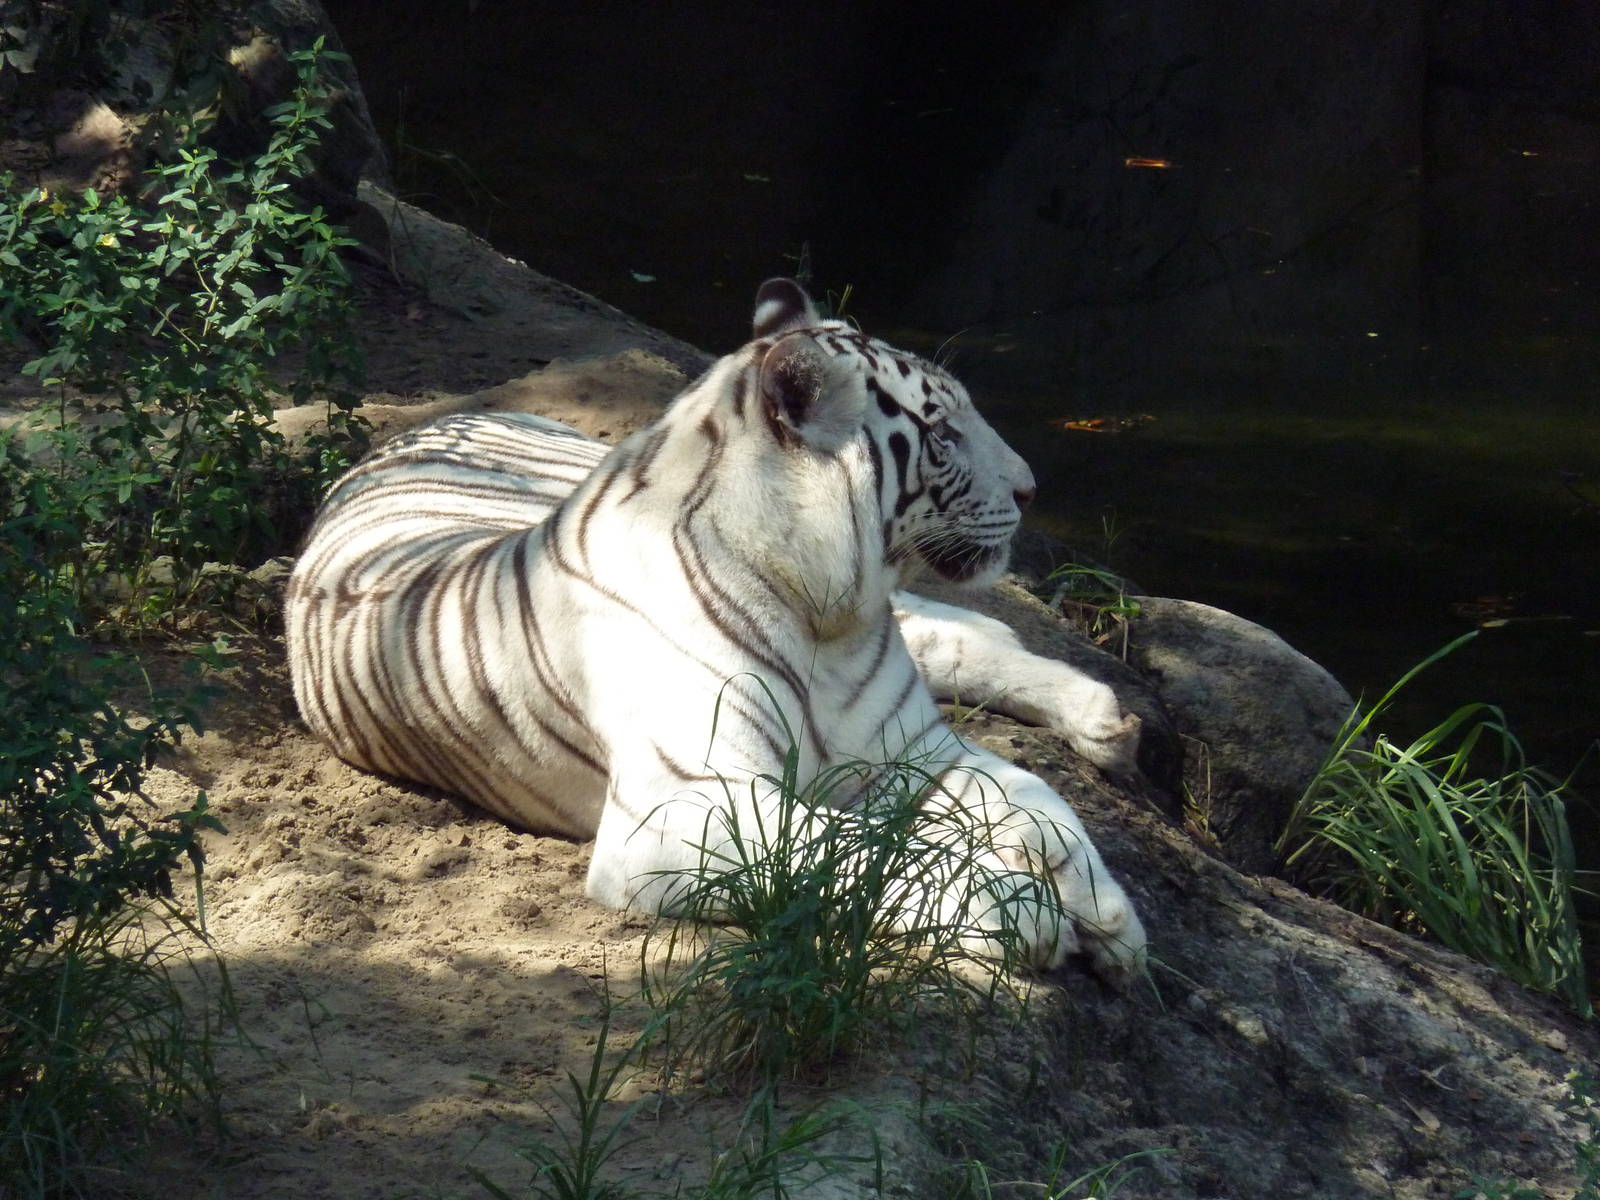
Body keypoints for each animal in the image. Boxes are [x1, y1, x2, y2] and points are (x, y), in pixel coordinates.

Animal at [285, 278, 1146, 972]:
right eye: (940, 432)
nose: (1031, 489)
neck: (831, 617)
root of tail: (417, 428)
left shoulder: (915, 751)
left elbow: (1036, 796)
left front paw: (1110, 916)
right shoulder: (684, 803)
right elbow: (850, 844)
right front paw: (1022, 909)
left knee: (962, 632)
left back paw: (1110, 721)